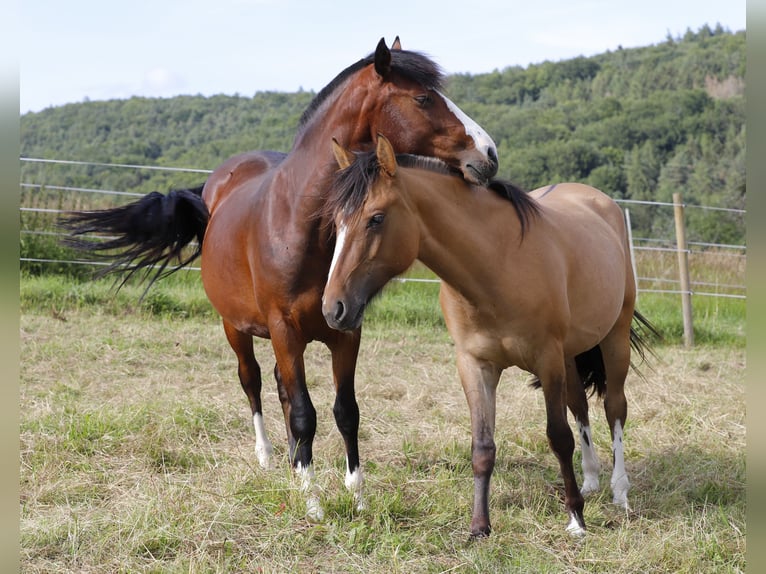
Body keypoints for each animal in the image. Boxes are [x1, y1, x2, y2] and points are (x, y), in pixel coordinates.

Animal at [63, 38, 500, 520]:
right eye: (423, 99)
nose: (489, 155)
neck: (299, 221)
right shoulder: (283, 328)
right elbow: (304, 413)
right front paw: (312, 502)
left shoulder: (346, 329)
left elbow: (345, 411)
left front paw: (356, 495)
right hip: (236, 327)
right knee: (253, 381)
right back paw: (269, 457)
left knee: (279, 388)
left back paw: (293, 460)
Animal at [320, 136, 656, 540]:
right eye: (336, 222)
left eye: (377, 218)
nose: (333, 309)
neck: (497, 263)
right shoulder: (475, 365)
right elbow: (482, 446)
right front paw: (479, 526)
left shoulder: (547, 359)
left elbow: (559, 437)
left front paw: (576, 518)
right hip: (571, 354)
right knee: (580, 405)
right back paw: (590, 479)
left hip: (613, 339)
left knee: (614, 408)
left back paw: (619, 491)